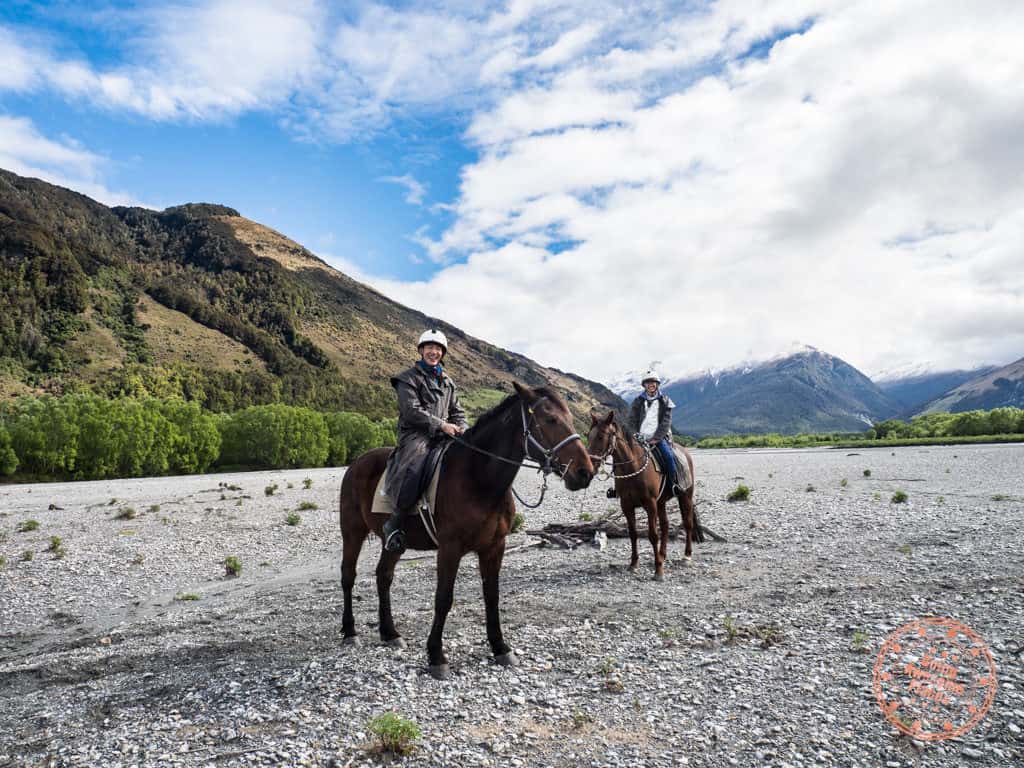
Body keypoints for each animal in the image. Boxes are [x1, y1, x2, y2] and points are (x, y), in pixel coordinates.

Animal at [337, 382, 593, 679]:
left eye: (571, 419)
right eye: (550, 419)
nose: (585, 472)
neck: (478, 478)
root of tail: (357, 462)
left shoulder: (494, 547)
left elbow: (491, 596)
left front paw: (500, 647)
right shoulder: (450, 549)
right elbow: (443, 599)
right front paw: (436, 655)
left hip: (394, 544)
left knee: (383, 576)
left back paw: (390, 633)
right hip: (352, 532)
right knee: (348, 576)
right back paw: (350, 631)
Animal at [585, 411, 704, 581]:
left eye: (601, 436)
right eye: (588, 435)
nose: (589, 464)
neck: (632, 467)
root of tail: (685, 453)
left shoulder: (650, 504)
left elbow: (653, 535)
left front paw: (658, 570)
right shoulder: (627, 505)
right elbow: (633, 534)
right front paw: (634, 564)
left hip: (685, 496)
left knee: (687, 523)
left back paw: (686, 556)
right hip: (661, 502)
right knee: (666, 525)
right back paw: (662, 554)